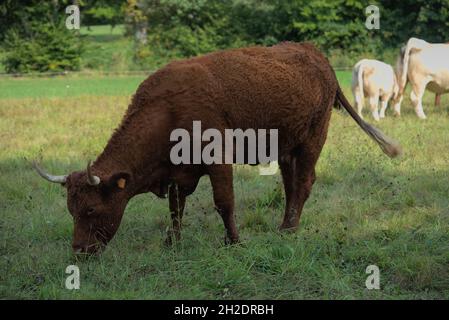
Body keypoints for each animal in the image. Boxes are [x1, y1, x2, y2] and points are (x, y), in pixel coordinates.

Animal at [34, 41, 400, 254]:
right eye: (71, 210)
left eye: (91, 209)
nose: (79, 251)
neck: (168, 108)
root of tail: (315, 54)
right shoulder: (177, 172)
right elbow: (176, 208)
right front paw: (172, 243)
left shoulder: (218, 160)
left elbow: (224, 202)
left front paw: (234, 242)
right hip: (285, 146)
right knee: (291, 184)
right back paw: (285, 224)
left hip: (313, 137)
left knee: (305, 182)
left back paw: (290, 229)